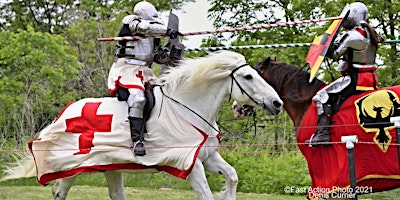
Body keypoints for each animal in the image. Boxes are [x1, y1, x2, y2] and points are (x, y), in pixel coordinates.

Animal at [3, 50, 284, 199]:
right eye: (248, 76)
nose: (277, 103)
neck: (187, 106)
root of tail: (62, 115)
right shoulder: (190, 166)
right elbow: (205, 194)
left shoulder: (206, 158)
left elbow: (232, 177)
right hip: (70, 166)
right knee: (59, 192)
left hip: (110, 165)